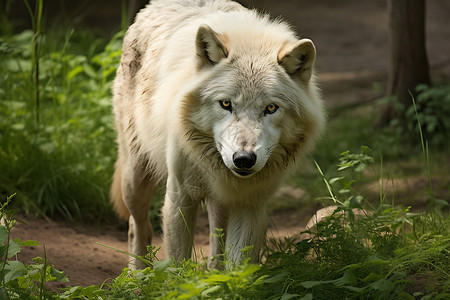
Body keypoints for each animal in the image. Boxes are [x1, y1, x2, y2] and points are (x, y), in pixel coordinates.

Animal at [110, 0, 326, 268]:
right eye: (225, 104)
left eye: (271, 108)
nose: (244, 159)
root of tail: (151, 6)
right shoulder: (181, 195)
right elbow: (179, 263)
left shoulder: (251, 203)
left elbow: (238, 265)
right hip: (135, 178)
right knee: (137, 225)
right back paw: (137, 273)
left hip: (220, 201)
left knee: (217, 242)